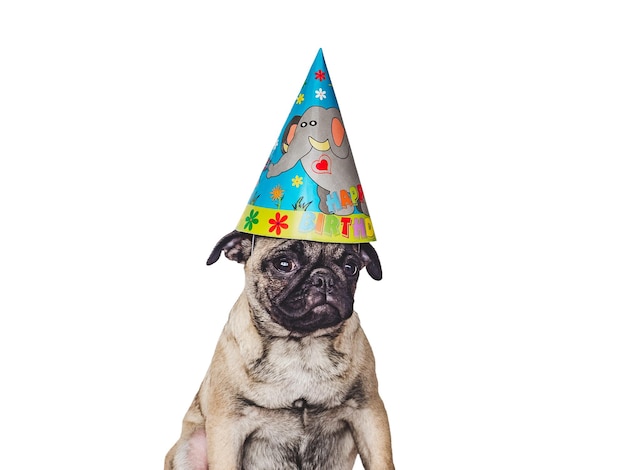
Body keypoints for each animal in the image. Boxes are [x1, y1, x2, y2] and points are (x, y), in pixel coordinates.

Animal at [163, 231, 392, 470]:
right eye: (284, 264)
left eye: (351, 267)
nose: (324, 278)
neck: (301, 346)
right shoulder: (228, 425)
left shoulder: (368, 412)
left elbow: (382, 461)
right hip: (190, 445)